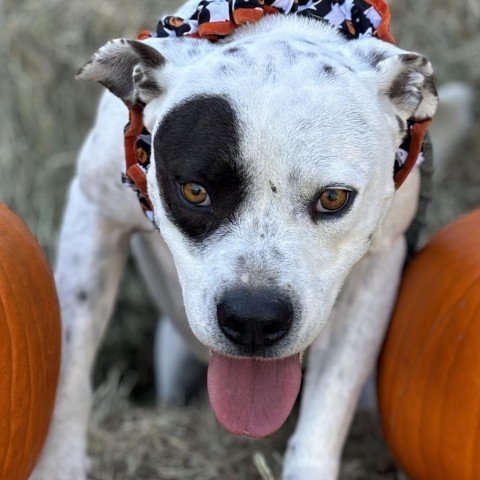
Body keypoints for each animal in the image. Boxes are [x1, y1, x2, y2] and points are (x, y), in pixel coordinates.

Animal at [31, 1, 440, 478]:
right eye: (195, 191)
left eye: (333, 198)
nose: (254, 320)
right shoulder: (95, 212)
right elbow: (69, 363)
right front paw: (57, 464)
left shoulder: (380, 265)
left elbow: (330, 400)